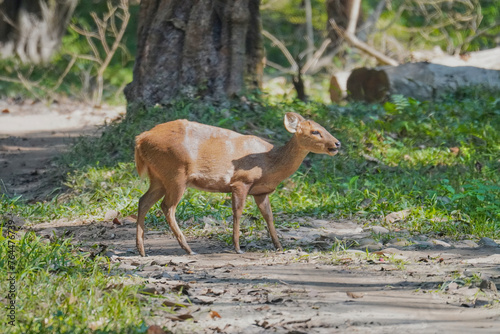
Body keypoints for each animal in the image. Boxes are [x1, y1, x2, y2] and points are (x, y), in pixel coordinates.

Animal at [135, 112, 342, 256]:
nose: (337, 143)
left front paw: (279, 246)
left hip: (159, 177)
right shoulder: (240, 182)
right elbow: (238, 213)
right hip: (176, 173)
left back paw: (142, 250)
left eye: (324, 128)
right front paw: (237, 247)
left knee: (143, 201)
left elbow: (269, 216)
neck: (269, 164)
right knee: (167, 207)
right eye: (315, 131)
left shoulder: (261, 192)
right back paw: (188, 249)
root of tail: (141, 139)